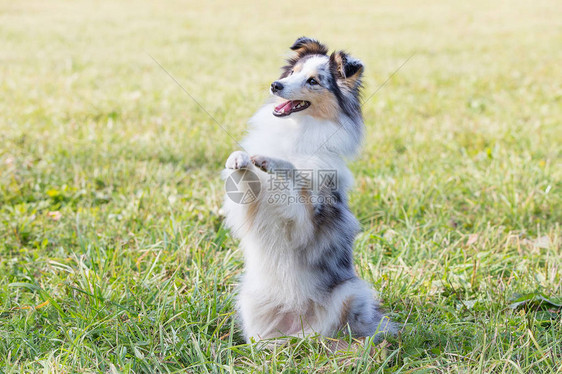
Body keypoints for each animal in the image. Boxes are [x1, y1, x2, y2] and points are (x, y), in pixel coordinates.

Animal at [220, 36, 394, 344]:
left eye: (313, 81)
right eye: (292, 72)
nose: (275, 85)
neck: (297, 132)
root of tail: (294, 324)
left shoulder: (305, 223)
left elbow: (295, 178)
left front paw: (272, 162)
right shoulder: (250, 207)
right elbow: (246, 181)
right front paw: (239, 159)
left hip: (350, 292)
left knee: (327, 333)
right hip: (249, 298)